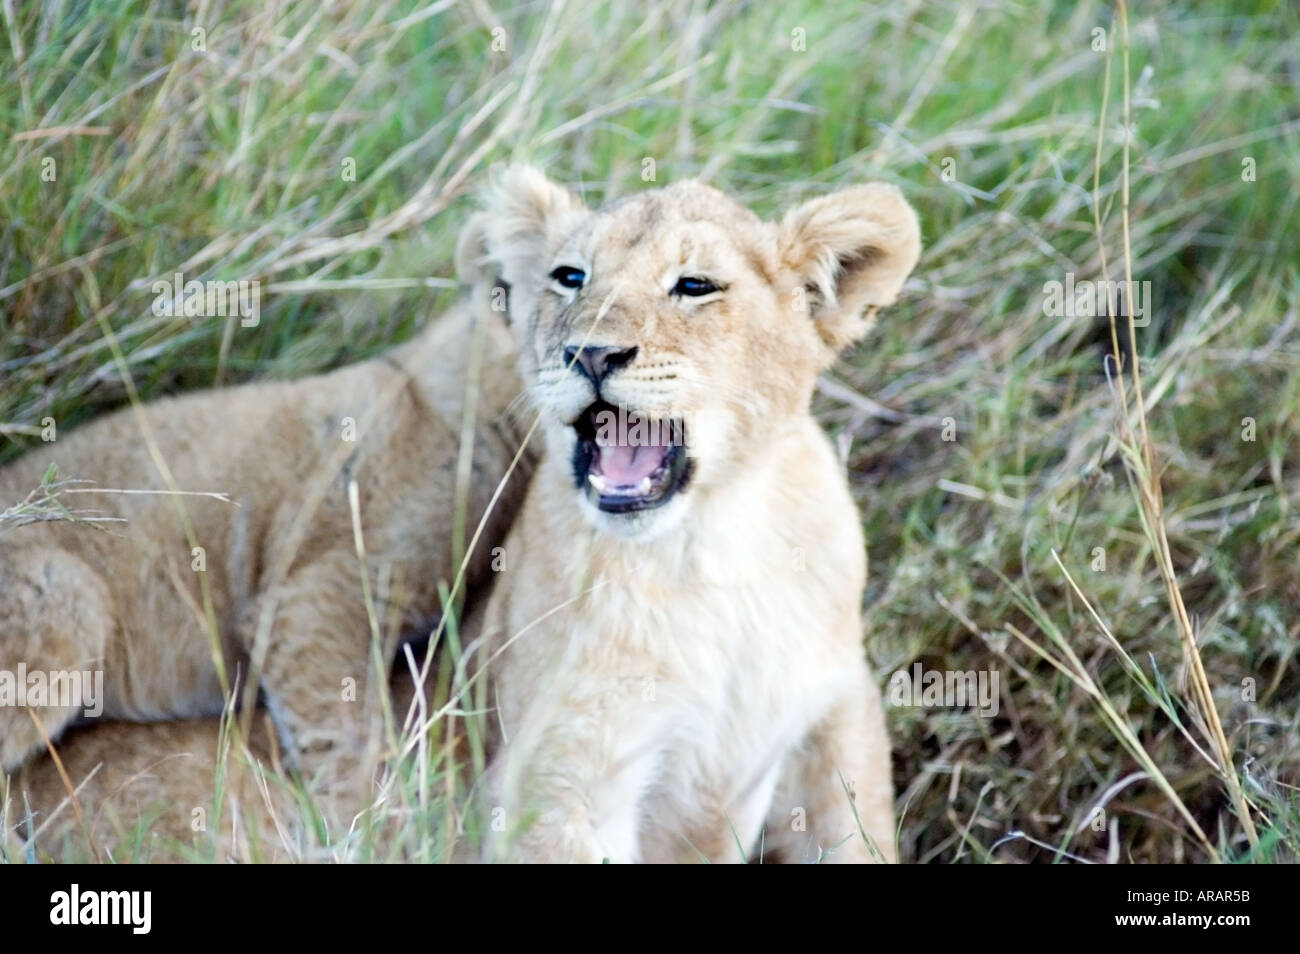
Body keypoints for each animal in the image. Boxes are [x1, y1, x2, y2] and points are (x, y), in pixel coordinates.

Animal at [473, 167, 920, 863]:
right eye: (570, 276)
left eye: (694, 286)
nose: (589, 354)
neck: (706, 551)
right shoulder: (558, 777)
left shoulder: (838, 703)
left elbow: (854, 832)